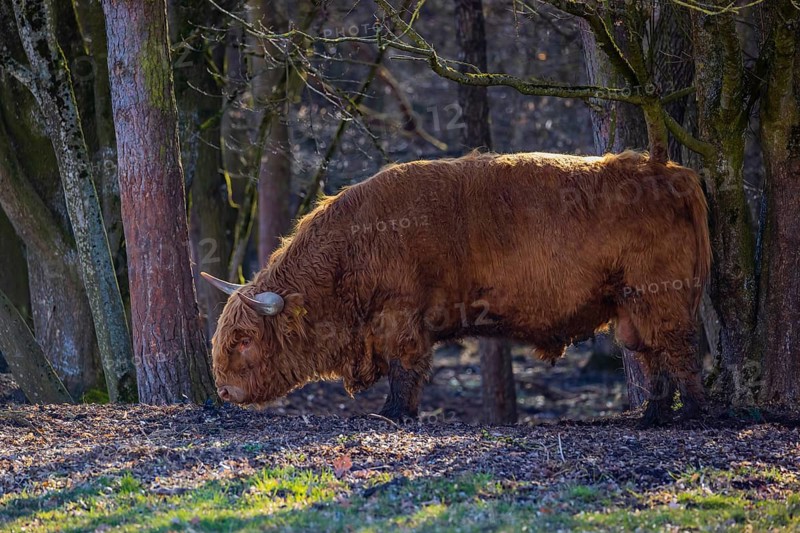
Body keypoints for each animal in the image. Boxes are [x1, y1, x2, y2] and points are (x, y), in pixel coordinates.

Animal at [202, 151, 711, 427]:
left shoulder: (401, 317)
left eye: (243, 340)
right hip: (631, 305)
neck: (352, 249)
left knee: (678, 348)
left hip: (658, 294)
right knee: (650, 353)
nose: (223, 391)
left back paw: (692, 413)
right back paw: (653, 416)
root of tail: (669, 171)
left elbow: (406, 368)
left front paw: (392, 413)